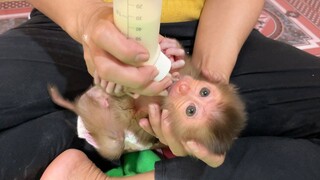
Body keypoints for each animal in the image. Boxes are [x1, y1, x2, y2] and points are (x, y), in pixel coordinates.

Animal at [48, 37, 246, 160]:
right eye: (204, 92)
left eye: (190, 111)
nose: (183, 87)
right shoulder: (191, 74)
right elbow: (181, 67)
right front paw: (173, 50)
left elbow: (136, 115)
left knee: (114, 142)